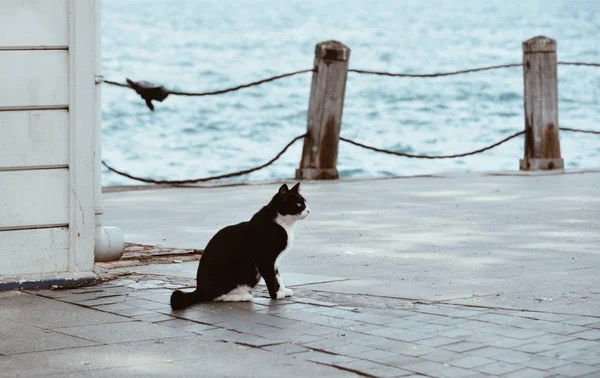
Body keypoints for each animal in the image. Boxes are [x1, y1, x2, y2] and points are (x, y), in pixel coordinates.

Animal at [170, 183, 308, 310]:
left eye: (305, 203)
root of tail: (199, 289)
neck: (283, 224)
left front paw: (283, 290)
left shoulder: (275, 261)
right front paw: (276, 295)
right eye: (298, 204)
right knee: (215, 297)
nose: (308, 210)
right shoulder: (264, 258)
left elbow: (278, 276)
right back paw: (242, 296)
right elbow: (271, 277)